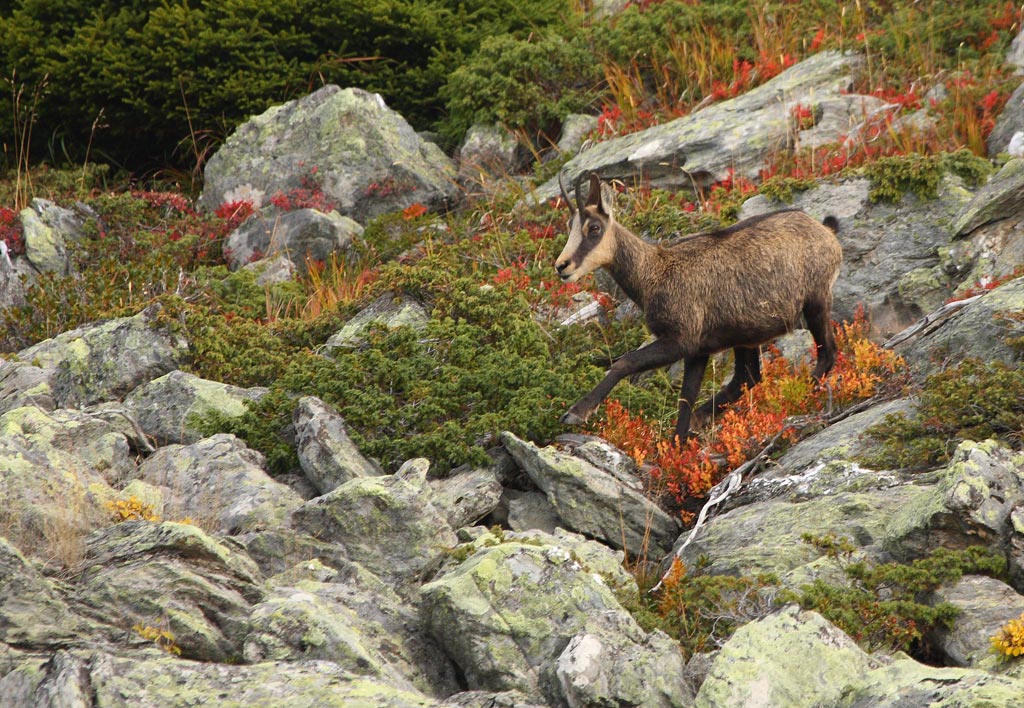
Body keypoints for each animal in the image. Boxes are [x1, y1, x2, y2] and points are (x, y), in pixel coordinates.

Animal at [555, 172, 843, 443]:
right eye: (570, 226)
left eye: (594, 227)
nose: (561, 266)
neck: (654, 273)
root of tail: (826, 231)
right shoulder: (699, 350)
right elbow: (686, 399)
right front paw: (677, 446)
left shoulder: (682, 340)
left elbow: (625, 362)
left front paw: (577, 412)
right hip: (745, 334)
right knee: (747, 376)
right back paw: (703, 417)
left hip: (815, 301)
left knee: (827, 353)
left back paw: (799, 394)